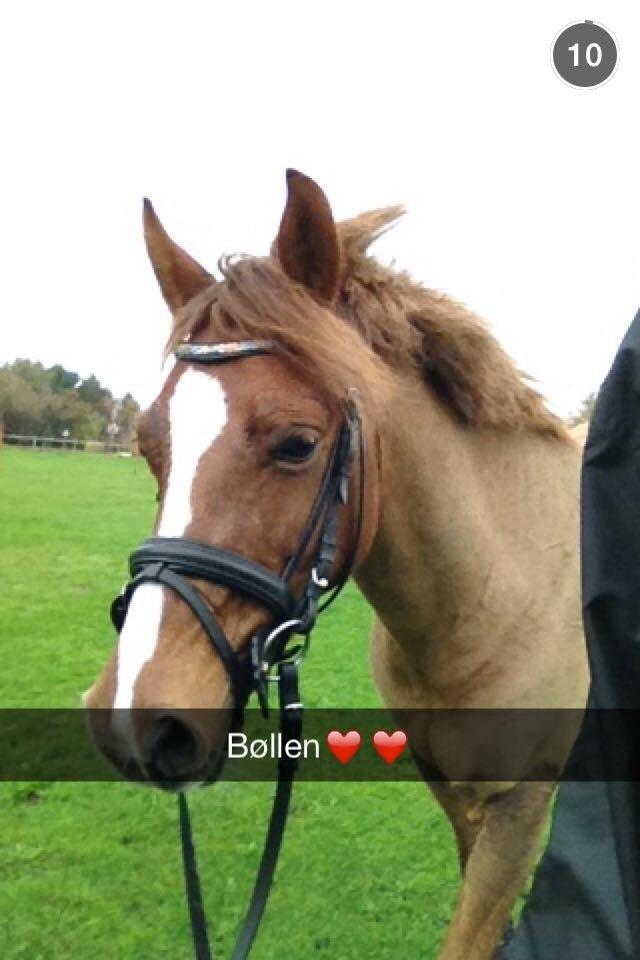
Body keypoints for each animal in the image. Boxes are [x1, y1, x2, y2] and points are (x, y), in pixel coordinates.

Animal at [85, 170, 589, 960]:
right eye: (147, 443)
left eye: (297, 443)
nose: (136, 721)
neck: (500, 588)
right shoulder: (455, 791)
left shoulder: (521, 803)